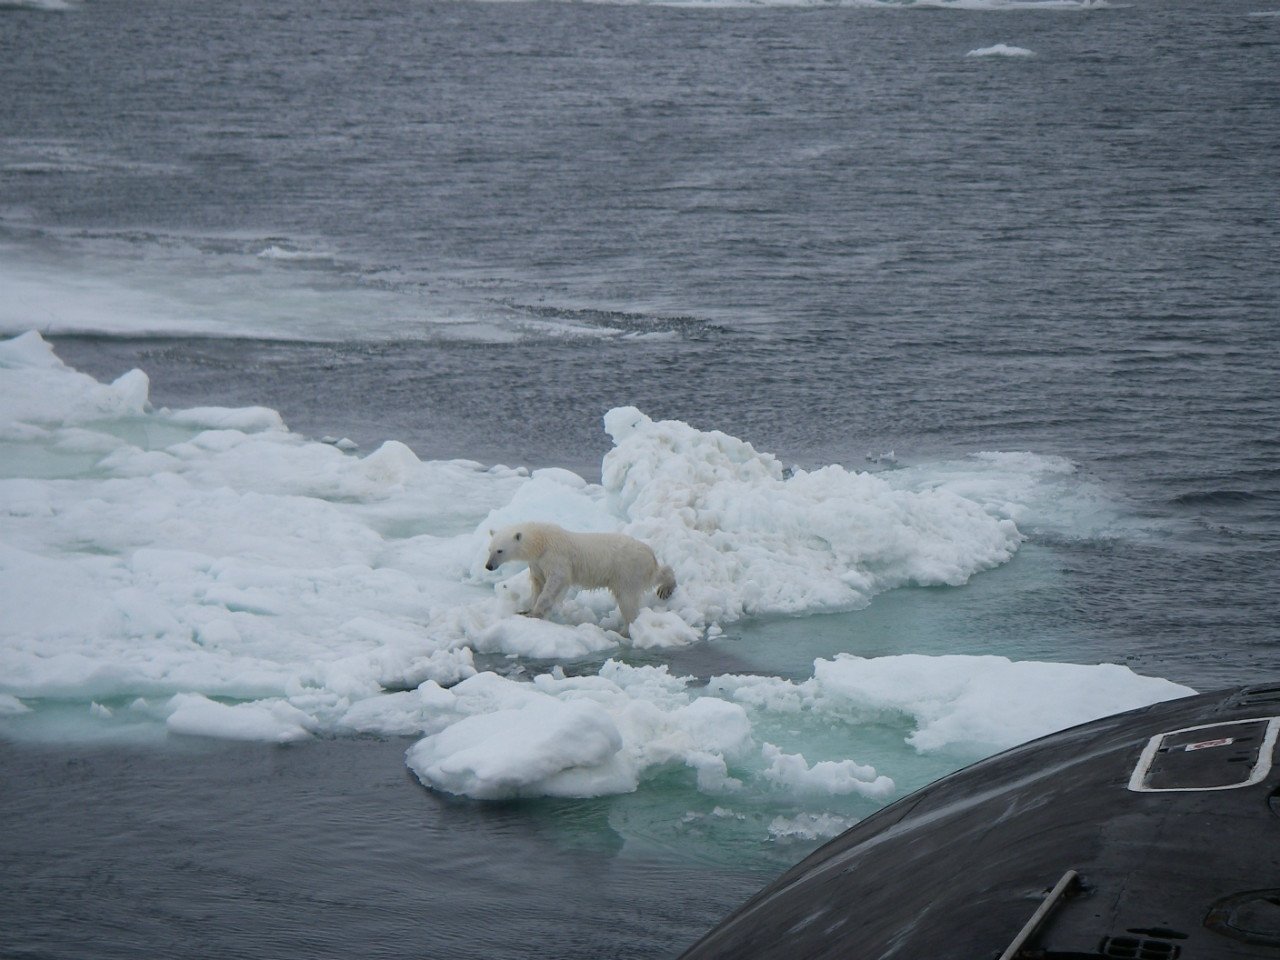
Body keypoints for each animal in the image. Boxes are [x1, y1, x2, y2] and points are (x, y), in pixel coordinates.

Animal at [481, 522, 680, 634]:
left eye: (500, 550)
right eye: (489, 549)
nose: (488, 566)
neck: (541, 540)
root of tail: (649, 553)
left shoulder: (556, 556)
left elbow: (556, 581)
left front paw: (534, 613)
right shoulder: (537, 562)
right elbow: (538, 583)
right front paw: (526, 609)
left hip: (627, 570)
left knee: (627, 599)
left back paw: (625, 630)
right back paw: (665, 587)